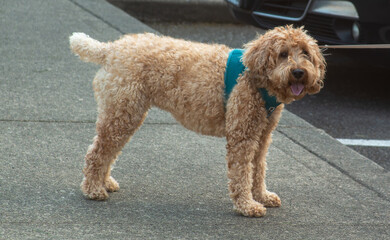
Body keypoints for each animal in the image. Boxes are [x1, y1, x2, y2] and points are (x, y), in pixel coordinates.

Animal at [70, 25, 326, 217]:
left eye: (305, 53)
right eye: (283, 53)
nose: (298, 72)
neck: (256, 78)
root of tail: (110, 49)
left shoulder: (262, 136)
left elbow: (258, 169)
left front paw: (262, 196)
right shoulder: (242, 135)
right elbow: (242, 172)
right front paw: (247, 205)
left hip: (124, 113)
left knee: (108, 150)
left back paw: (104, 182)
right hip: (122, 111)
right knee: (97, 152)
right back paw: (93, 189)